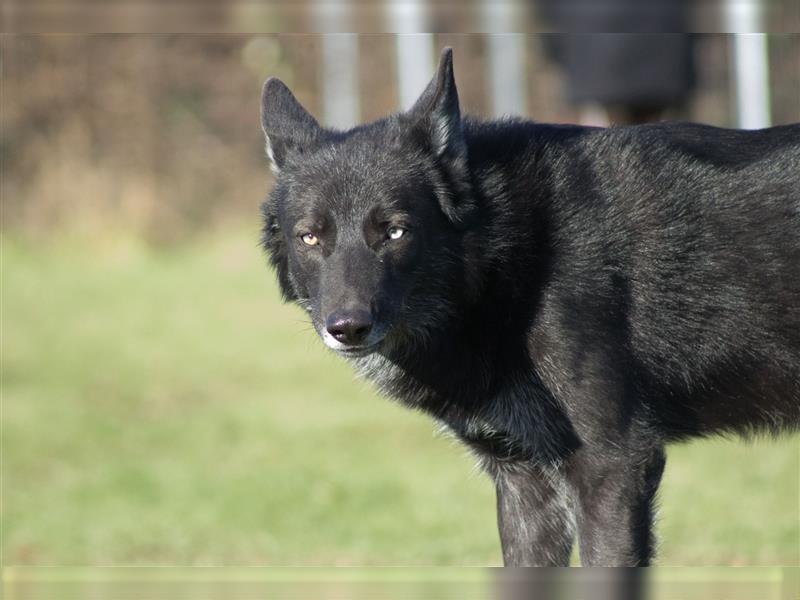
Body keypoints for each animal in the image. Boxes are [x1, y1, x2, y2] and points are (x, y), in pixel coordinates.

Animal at [260, 49, 800, 564]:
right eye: (310, 237)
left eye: (394, 231)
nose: (347, 327)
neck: (512, 253)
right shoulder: (525, 480)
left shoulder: (614, 465)